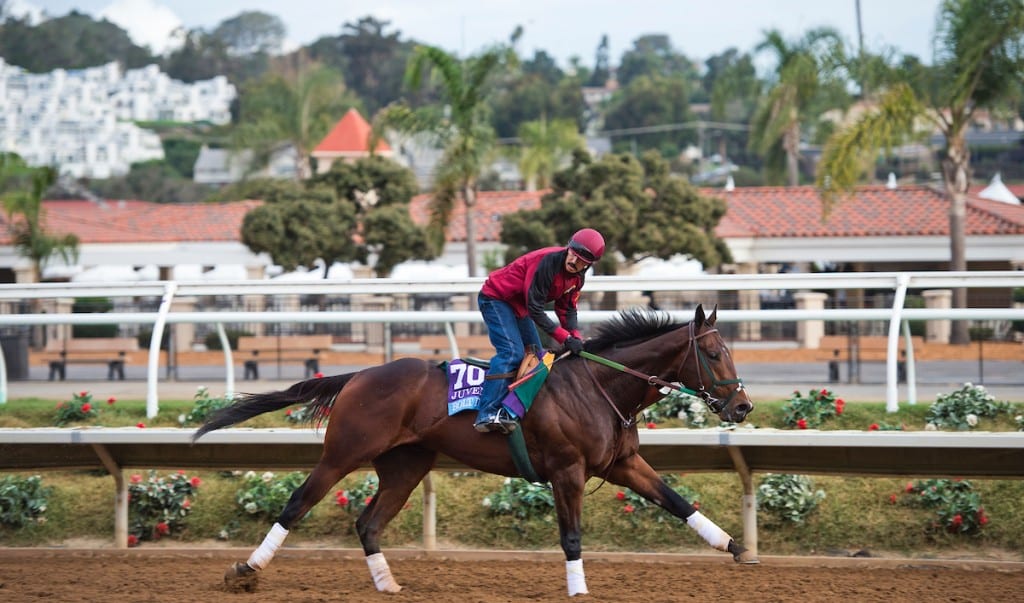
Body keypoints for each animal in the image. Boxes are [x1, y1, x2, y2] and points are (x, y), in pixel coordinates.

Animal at [193, 303, 753, 593]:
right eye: (711, 353)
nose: (743, 406)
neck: (600, 386)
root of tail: (361, 374)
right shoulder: (567, 470)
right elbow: (571, 538)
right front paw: (578, 589)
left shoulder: (623, 463)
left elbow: (678, 502)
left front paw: (737, 548)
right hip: (342, 454)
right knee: (297, 504)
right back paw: (246, 570)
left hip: (407, 465)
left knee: (368, 523)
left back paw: (387, 584)